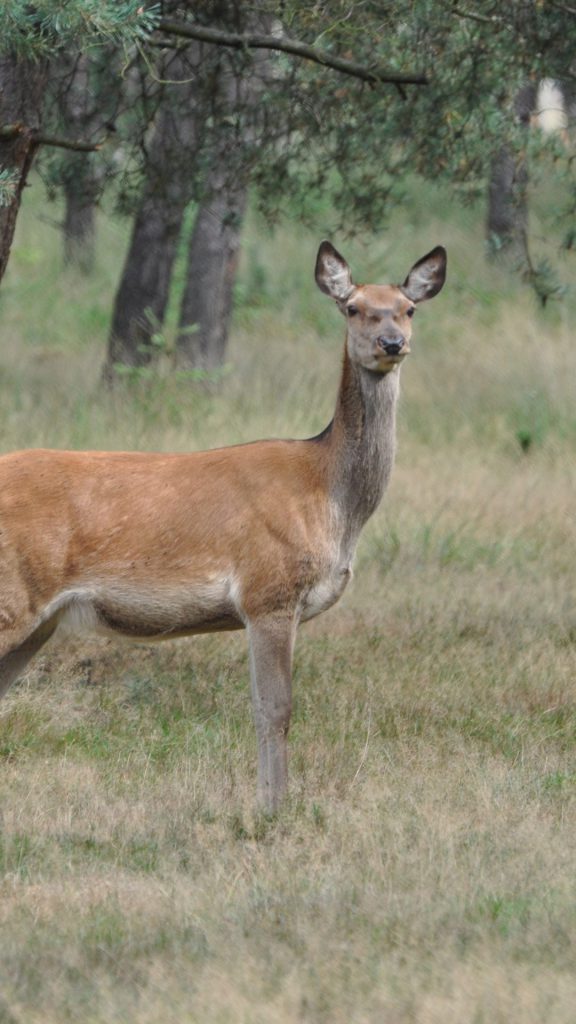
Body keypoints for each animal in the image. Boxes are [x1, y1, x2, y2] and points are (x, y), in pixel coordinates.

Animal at [0, 239, 444, 806]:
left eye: (409, 309)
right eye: (352, 307)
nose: (392, 343)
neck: (330, 496)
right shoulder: (268, 591)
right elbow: (274, 710)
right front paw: (273, 809)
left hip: (40, 619)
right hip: (13, 595)